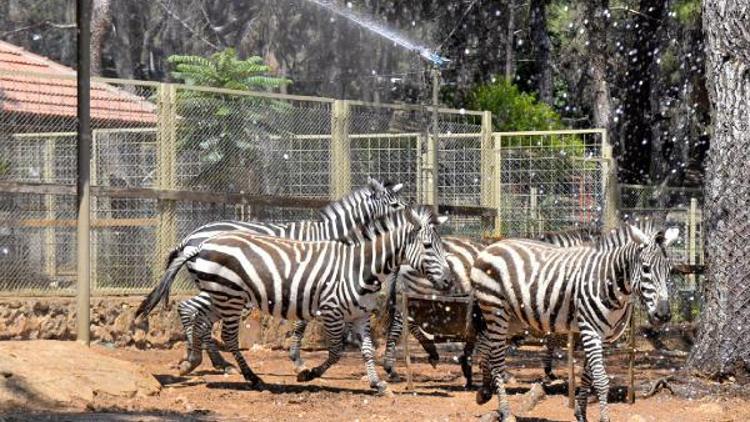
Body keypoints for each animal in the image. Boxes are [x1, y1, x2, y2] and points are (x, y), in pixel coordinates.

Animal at [136, 206, 452, 394]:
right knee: (225, 335)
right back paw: (251, 377)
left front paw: (378, 383)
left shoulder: (360, 315)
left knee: (199, 317)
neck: (360, 267)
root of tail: (200, 243)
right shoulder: (330, 311)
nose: (449, 282)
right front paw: (307, 373)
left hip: (221, 296)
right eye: (427, 246)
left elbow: (366, 351)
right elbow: (335, 351)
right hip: (230, 297)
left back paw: (194, 361)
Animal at [159, 177, 408, 372]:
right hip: (221, 286)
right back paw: (208, 359)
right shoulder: (309, 281)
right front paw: (297, 359)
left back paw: (209, 360)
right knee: (189, 308)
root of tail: (192, 236)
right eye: (395, 204)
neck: (329, 234)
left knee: (196, 313)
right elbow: (303, 322)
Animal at [472, 224, 680, 422]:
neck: (609, 281)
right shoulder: (590, 331)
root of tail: (493, 245)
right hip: (495, 308)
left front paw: (581, 414)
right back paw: (506, 412)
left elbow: (588, 376)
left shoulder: (601, 335)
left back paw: (484, 392)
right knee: (497, 359)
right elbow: (601, 379)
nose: (663, 315)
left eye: (669, 270)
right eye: (645, 268)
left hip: (512, 318)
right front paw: (604, 418)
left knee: (485, 343)